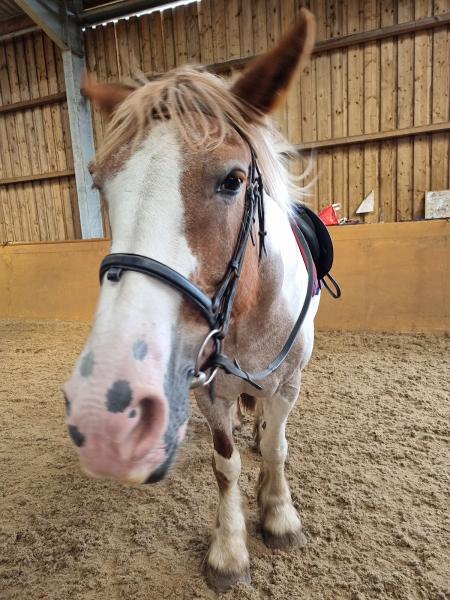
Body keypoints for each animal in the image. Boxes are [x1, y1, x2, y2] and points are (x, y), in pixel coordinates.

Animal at [64, 9, 320, 592]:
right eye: (100, 185)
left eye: (233, 180)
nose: (106, 411)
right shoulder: (211, 391)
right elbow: (226, 465)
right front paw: (229, 550)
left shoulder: (287, 383)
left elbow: (277, 447)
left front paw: (279, 514)